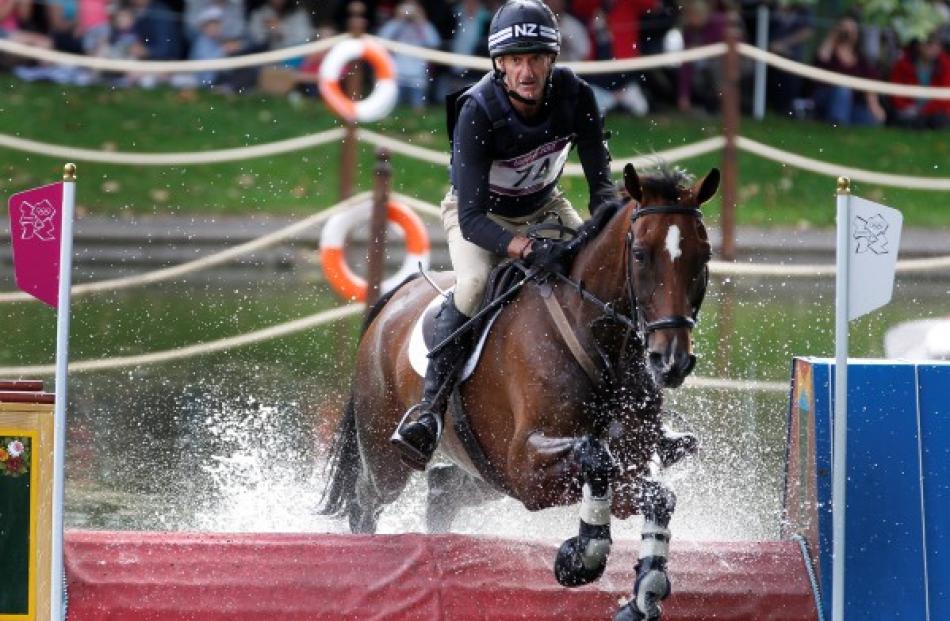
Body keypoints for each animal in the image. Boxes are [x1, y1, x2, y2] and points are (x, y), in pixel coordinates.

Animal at [324, 162, 716, 616]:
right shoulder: (526, 467)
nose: (672, 361)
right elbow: (595, 455)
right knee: (366, 502)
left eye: (703, 256)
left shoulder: (629, 466)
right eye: (640, 255)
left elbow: (658, 497)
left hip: (485, 475)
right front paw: (581, 557)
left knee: (442, 492)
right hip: (388, 458)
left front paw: (644, 593)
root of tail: (395, 297)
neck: (602, 346)